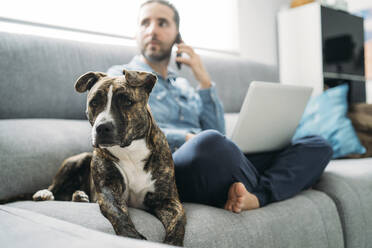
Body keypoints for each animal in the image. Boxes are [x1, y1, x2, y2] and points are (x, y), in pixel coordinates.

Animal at [32, 69, 186, 246]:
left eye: (127, 101)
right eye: (94, 102)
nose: (102, 127)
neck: (130, 151)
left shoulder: (168, 200)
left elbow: (178, 222)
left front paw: (172, 243)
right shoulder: (108, 191)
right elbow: (118, 213)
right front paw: (131, 237)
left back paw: (79, 196)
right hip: (76, 161)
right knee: (54, 186)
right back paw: (45, 194)